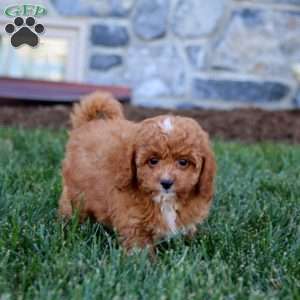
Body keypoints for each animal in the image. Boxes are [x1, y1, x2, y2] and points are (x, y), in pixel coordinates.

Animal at [58, 92, 216, 253]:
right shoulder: (134, 223)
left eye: (183, 162)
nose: (166, 183)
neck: (165, 201)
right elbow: (140, 248)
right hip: (77, 192)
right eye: (153, 161)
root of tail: (86, 124)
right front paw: (145, 260)